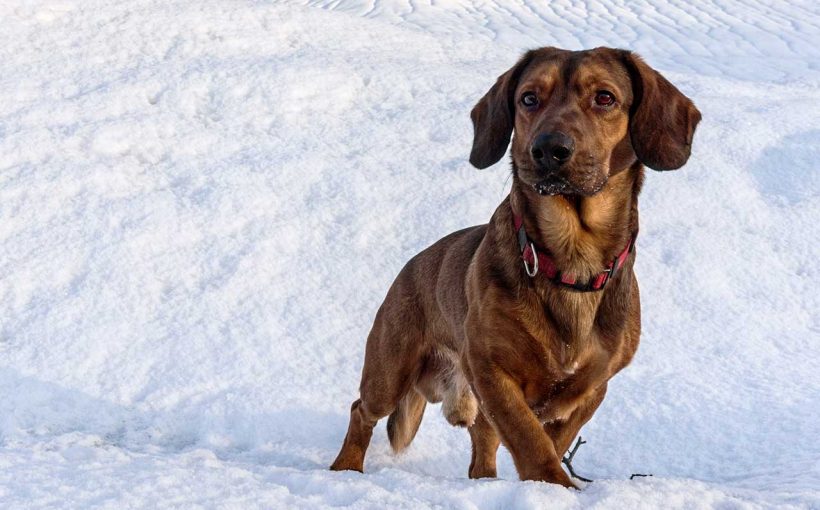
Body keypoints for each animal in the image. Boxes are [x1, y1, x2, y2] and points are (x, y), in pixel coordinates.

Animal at [330, 46, 700, 486]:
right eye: (528, 98)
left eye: (605, 97)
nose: (549, 149)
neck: (572, 263)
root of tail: (410, 266)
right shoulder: (491, 369)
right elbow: (529, 440)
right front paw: (555, 486)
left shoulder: (592, 388)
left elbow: (551, 441)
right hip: (389, 372)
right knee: (361, 411)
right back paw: (345, 468)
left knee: (481, 445)